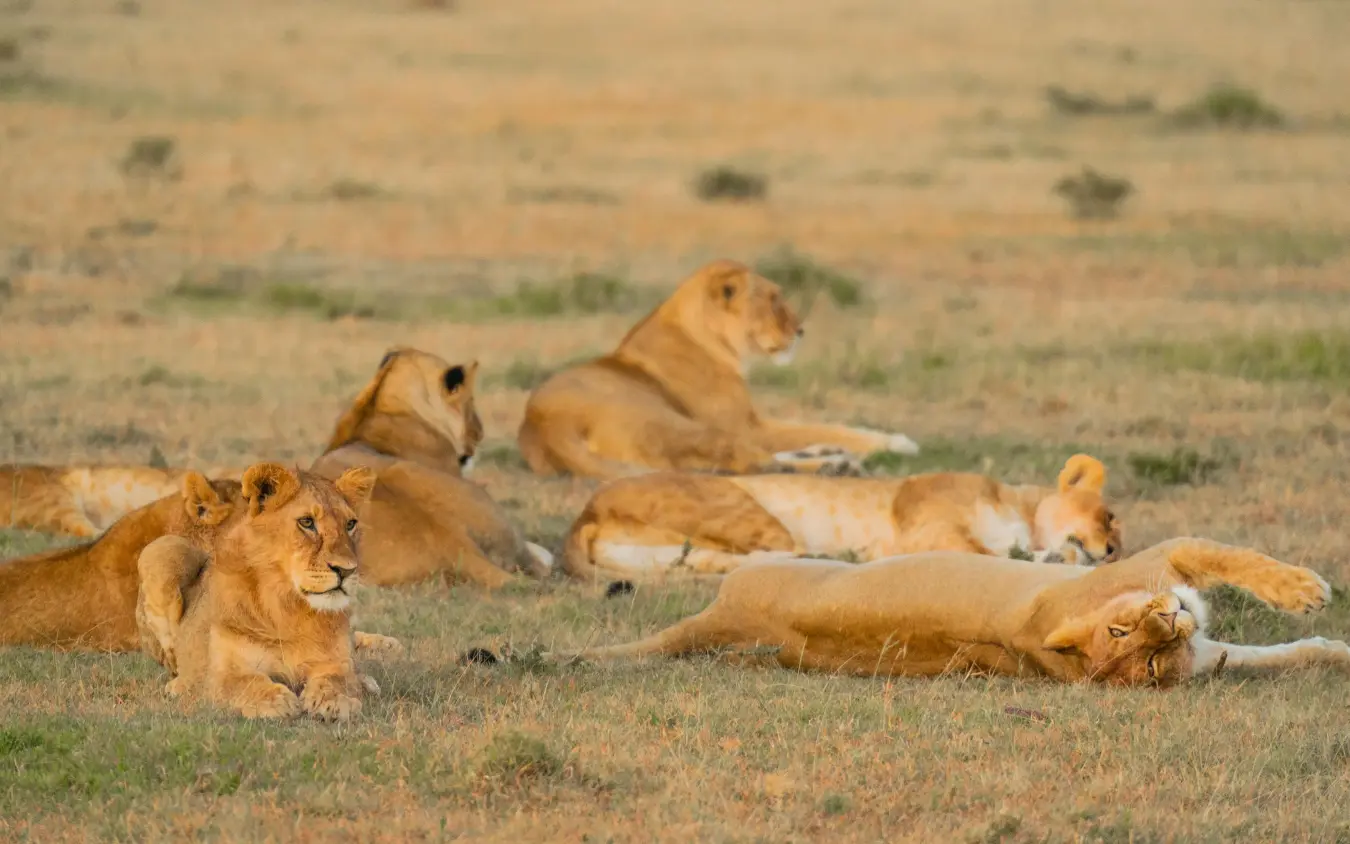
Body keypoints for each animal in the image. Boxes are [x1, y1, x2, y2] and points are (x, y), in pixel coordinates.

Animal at [138, 462, 392, 720]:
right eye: (307, 522)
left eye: (350, 524)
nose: (347, 570)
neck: (289, 605)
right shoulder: (222, 673)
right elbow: (245, 683)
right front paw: (275, 701)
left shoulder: (335, 661)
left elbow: (339, 679)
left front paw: (337, 700)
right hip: (164, 549)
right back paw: (178, 685)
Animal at [516, 259, 920, 479]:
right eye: (773, 299)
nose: (801, 330)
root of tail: (544, 425)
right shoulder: (746, 425)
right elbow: (822, 427)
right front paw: (898, 442)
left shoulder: (752, 423)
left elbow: (813, 428)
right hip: (688, 427)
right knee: (754, 464)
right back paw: (838, 466)